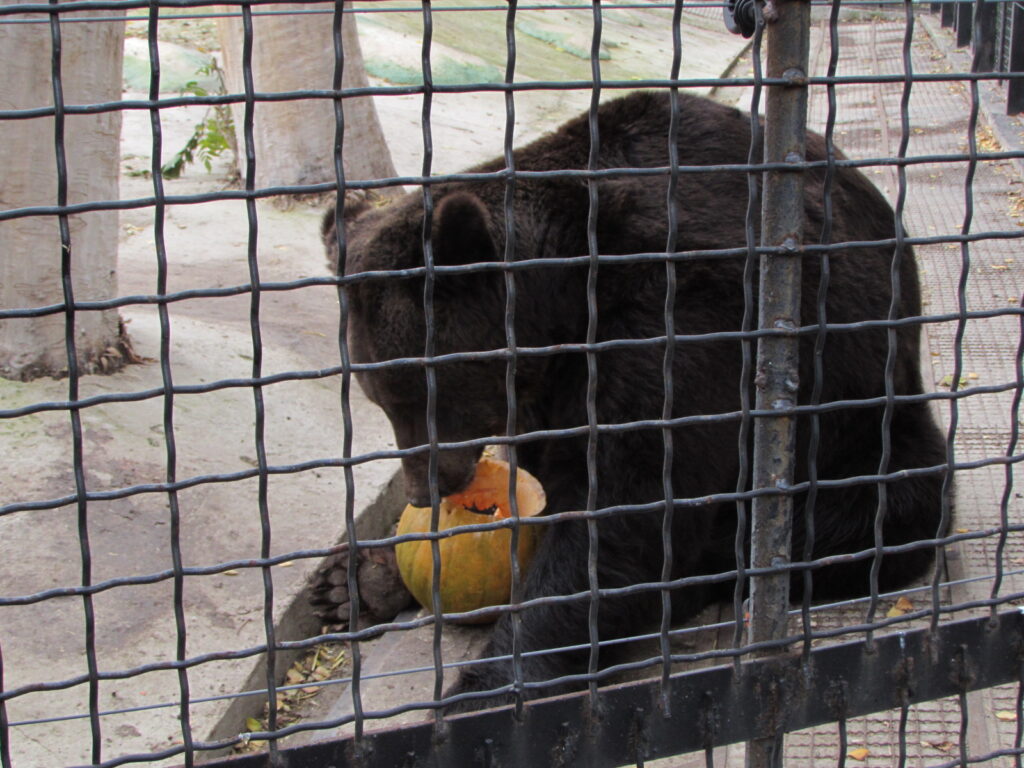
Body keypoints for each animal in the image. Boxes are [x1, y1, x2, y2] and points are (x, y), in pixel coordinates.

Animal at [315, 88, 946, 708]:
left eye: (427, 395)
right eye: (381, 400)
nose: (426, 489)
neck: (565, 296)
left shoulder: (685, 312)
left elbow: (630, 504)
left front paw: (486, 688)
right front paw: (355, 581)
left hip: (864, 420)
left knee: (876, 505)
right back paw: (351, 585)